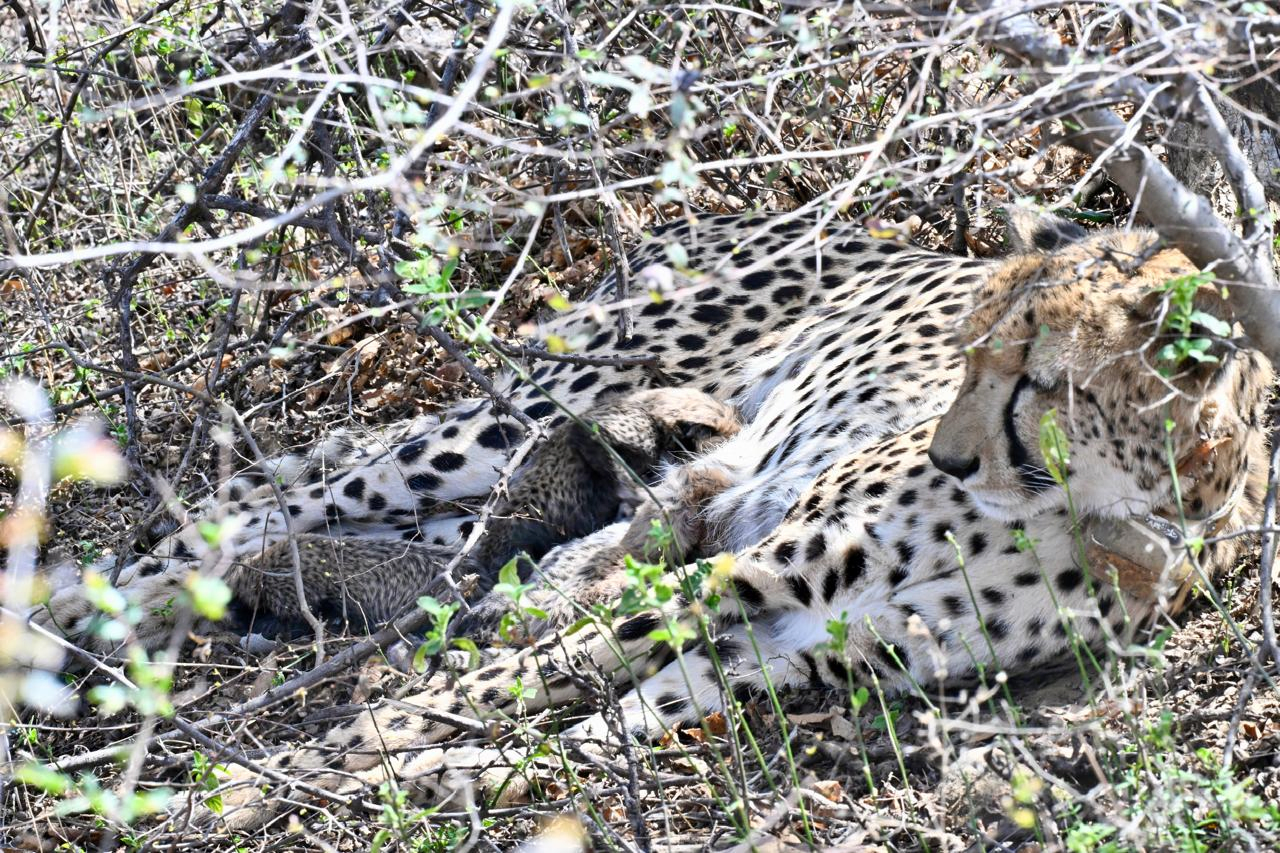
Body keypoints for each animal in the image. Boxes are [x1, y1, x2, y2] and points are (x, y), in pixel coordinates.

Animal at [29, 209, 1272, 831]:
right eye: (965, 354)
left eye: (1031, 377)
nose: (945, 454)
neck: (1104, 511)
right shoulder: (749, 571)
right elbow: (485, 691)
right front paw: (273, 778)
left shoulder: (806, 639)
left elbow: (575, 724)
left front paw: (418, 779)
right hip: (535, 402)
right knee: (264, 499)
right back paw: (91, 610)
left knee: (433, 553)